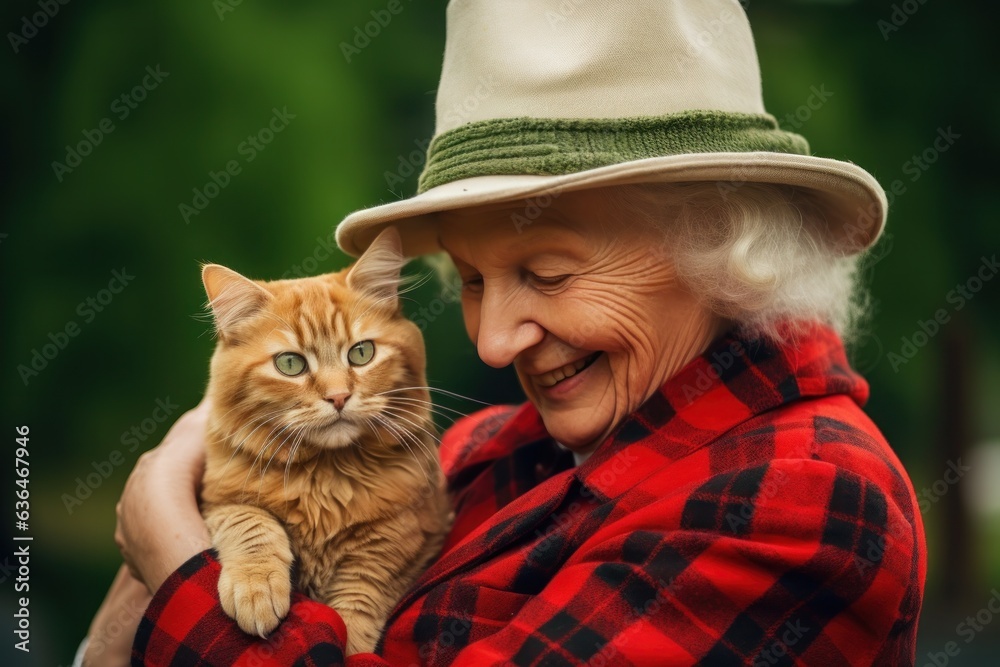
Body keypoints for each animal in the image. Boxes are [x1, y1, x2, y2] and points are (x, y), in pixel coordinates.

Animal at [197, 227, 452, 656]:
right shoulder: (219, 500)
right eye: (290, 364)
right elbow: (252, 525)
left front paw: (351, 647)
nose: (338, 397)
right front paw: (256, 589)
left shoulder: (402, 536)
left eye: (361, 353)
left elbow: (358, 602)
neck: (325, 474)